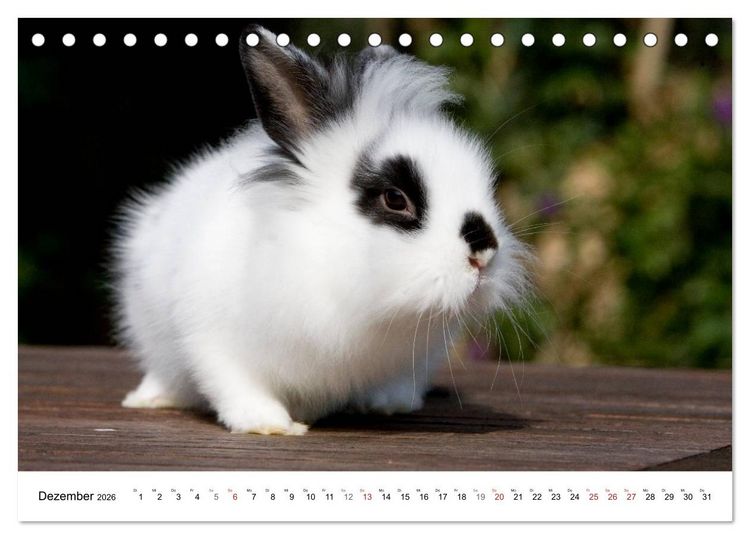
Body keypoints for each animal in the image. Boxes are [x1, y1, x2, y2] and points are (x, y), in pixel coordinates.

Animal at [111, 26, 531, 435]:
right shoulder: (214, 339)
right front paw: (269, 425)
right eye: (395, 199)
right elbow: (237, 385)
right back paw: (149, 399)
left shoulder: (417, 356)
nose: (484, 254)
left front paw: (388, 404)